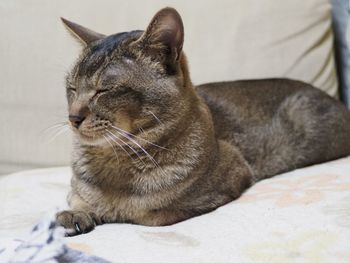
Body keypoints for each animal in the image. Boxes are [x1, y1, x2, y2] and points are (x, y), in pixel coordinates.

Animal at [56, 7, 350, 236]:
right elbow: (77, 199)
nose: (73, 117)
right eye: (72, 88)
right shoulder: (76, 189)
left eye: (104, 89)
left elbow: (149, 212)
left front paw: (113, 210)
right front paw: (77, 214)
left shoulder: (229, 176)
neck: (113, 162)